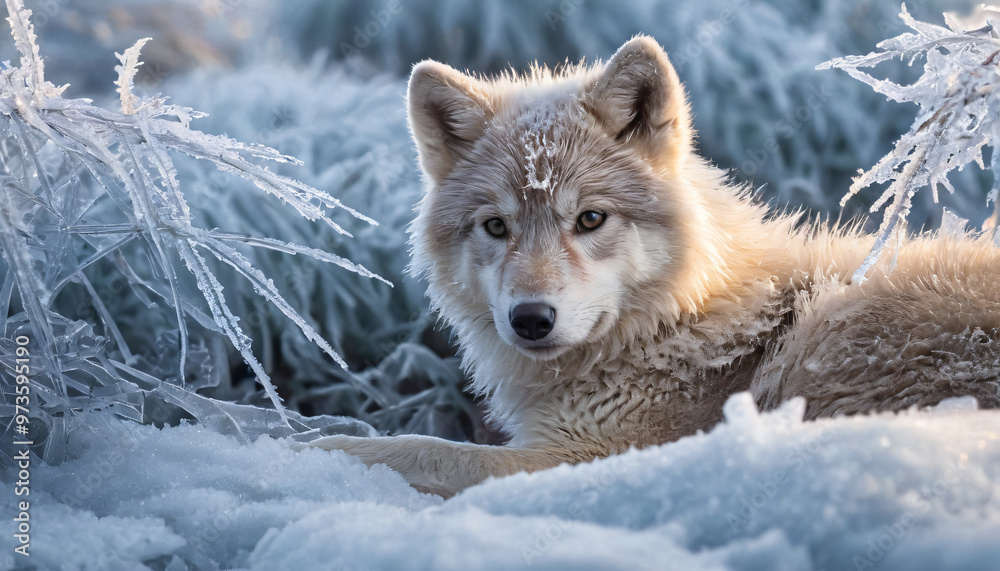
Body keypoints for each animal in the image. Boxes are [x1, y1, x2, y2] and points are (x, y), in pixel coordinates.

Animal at [307, 36, 1000, 497]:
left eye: (590, 219)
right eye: (497, 227)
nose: (530, 319)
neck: (673, 323)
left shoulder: (593, 454)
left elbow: (424, 451)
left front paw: (316, 447)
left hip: (837, 329)